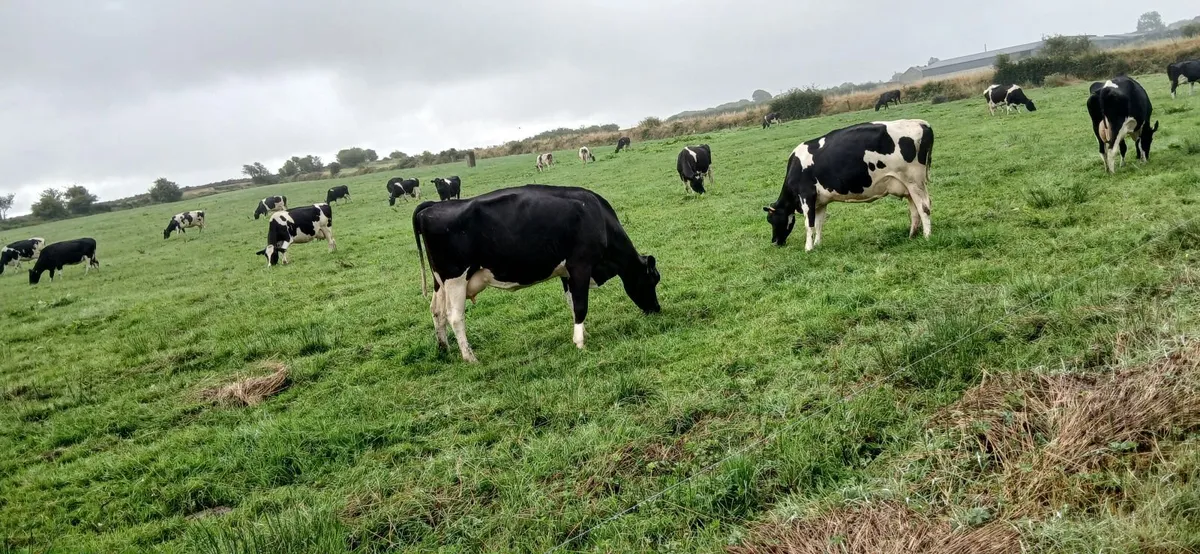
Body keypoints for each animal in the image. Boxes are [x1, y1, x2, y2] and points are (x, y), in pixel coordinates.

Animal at [412, 185, 661, 362]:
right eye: (653, 280)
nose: (657, 310)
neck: (597, 216)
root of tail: (431, 206)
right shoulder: (580, 266)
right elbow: (581, 305)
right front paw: (580, 343)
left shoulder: (566, 273)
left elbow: (572, 303)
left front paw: (582, 333)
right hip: (455, 278)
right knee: (455, 316)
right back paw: (470, 357)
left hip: (440, 282)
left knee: (437, 311)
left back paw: (443, 348)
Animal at [763, 119, 935, 252]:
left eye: (771, 220)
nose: (774, 242)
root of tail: (922, 123)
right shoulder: (820, 201)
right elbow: (819, 223)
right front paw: (818, 244)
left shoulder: (806, 195)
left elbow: (809, 224)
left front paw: (808, 248)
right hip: (908, 185)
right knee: (914, 210)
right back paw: (912, 235)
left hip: (914, 181)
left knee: (924, 207)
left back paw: (927, 236)